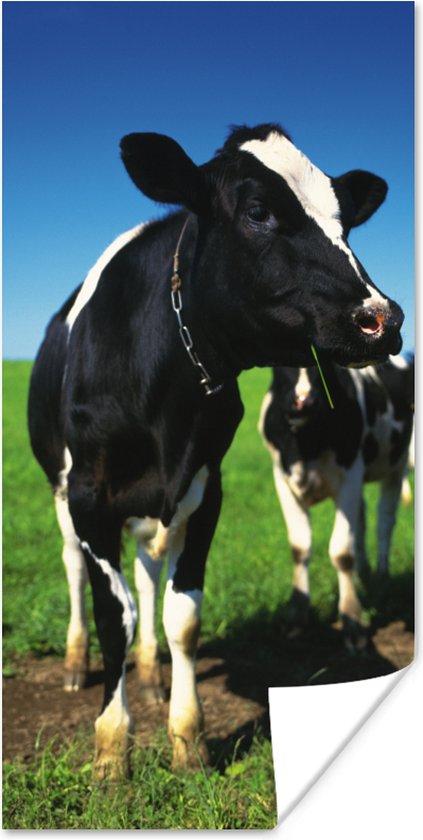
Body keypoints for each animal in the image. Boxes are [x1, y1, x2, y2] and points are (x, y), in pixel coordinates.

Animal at [259, 355, 414, 649]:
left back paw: (382, 575)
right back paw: (365, 573)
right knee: (363, 519)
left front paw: (353, 621)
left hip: (397, 465)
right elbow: (299, 547)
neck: (305, 444)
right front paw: (297, 617)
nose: (304, 401)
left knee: (385, 521)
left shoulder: (350, 476)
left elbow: (342, 552)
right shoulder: (281, 478)